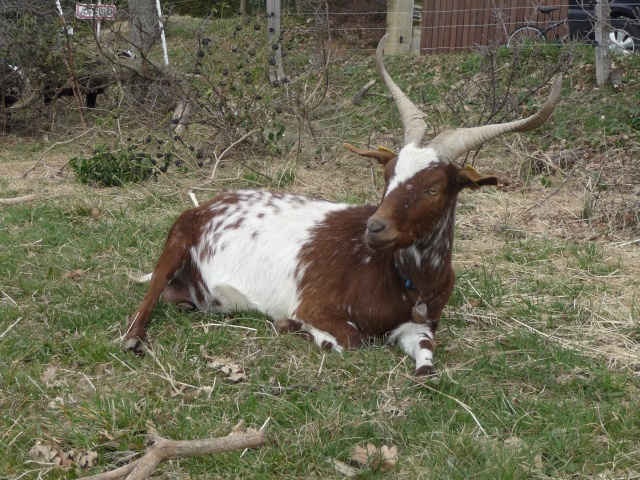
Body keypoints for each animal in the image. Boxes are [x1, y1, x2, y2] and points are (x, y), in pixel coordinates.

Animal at [124, 35, 560, 376]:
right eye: (388, 175)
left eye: (434, 188)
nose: (375, 228)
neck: (404, 281)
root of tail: (211, 203)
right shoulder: (316, 304)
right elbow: (349, 340)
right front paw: (296, 329)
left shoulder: (420, 325)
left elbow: (427, 360)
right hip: (176, 240)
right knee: (147, 299)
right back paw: (133, 338)